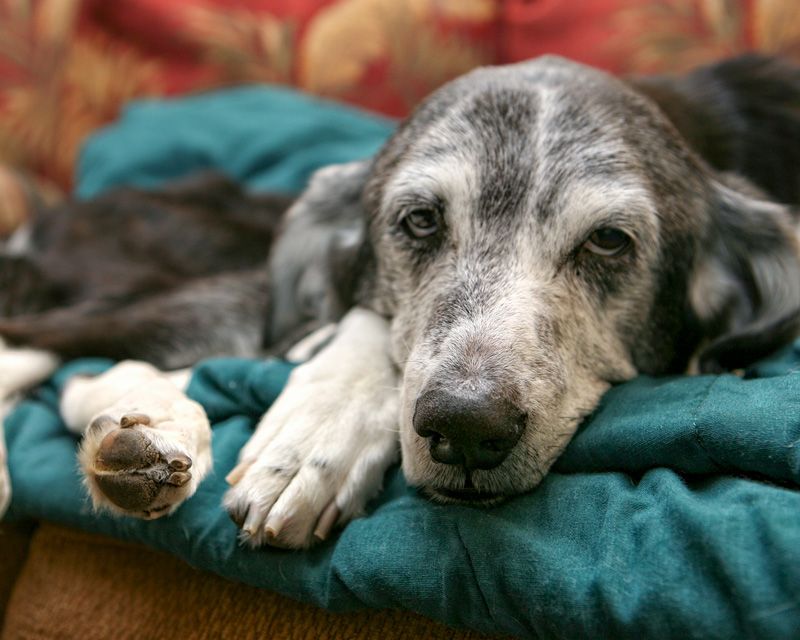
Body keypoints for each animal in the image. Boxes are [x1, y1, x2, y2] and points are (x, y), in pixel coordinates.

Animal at [4, 53, 800, 544]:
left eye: (608, 241)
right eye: (419, 221)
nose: (468, 427)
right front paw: (313, 436)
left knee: (79, 372)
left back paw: (146, 436)